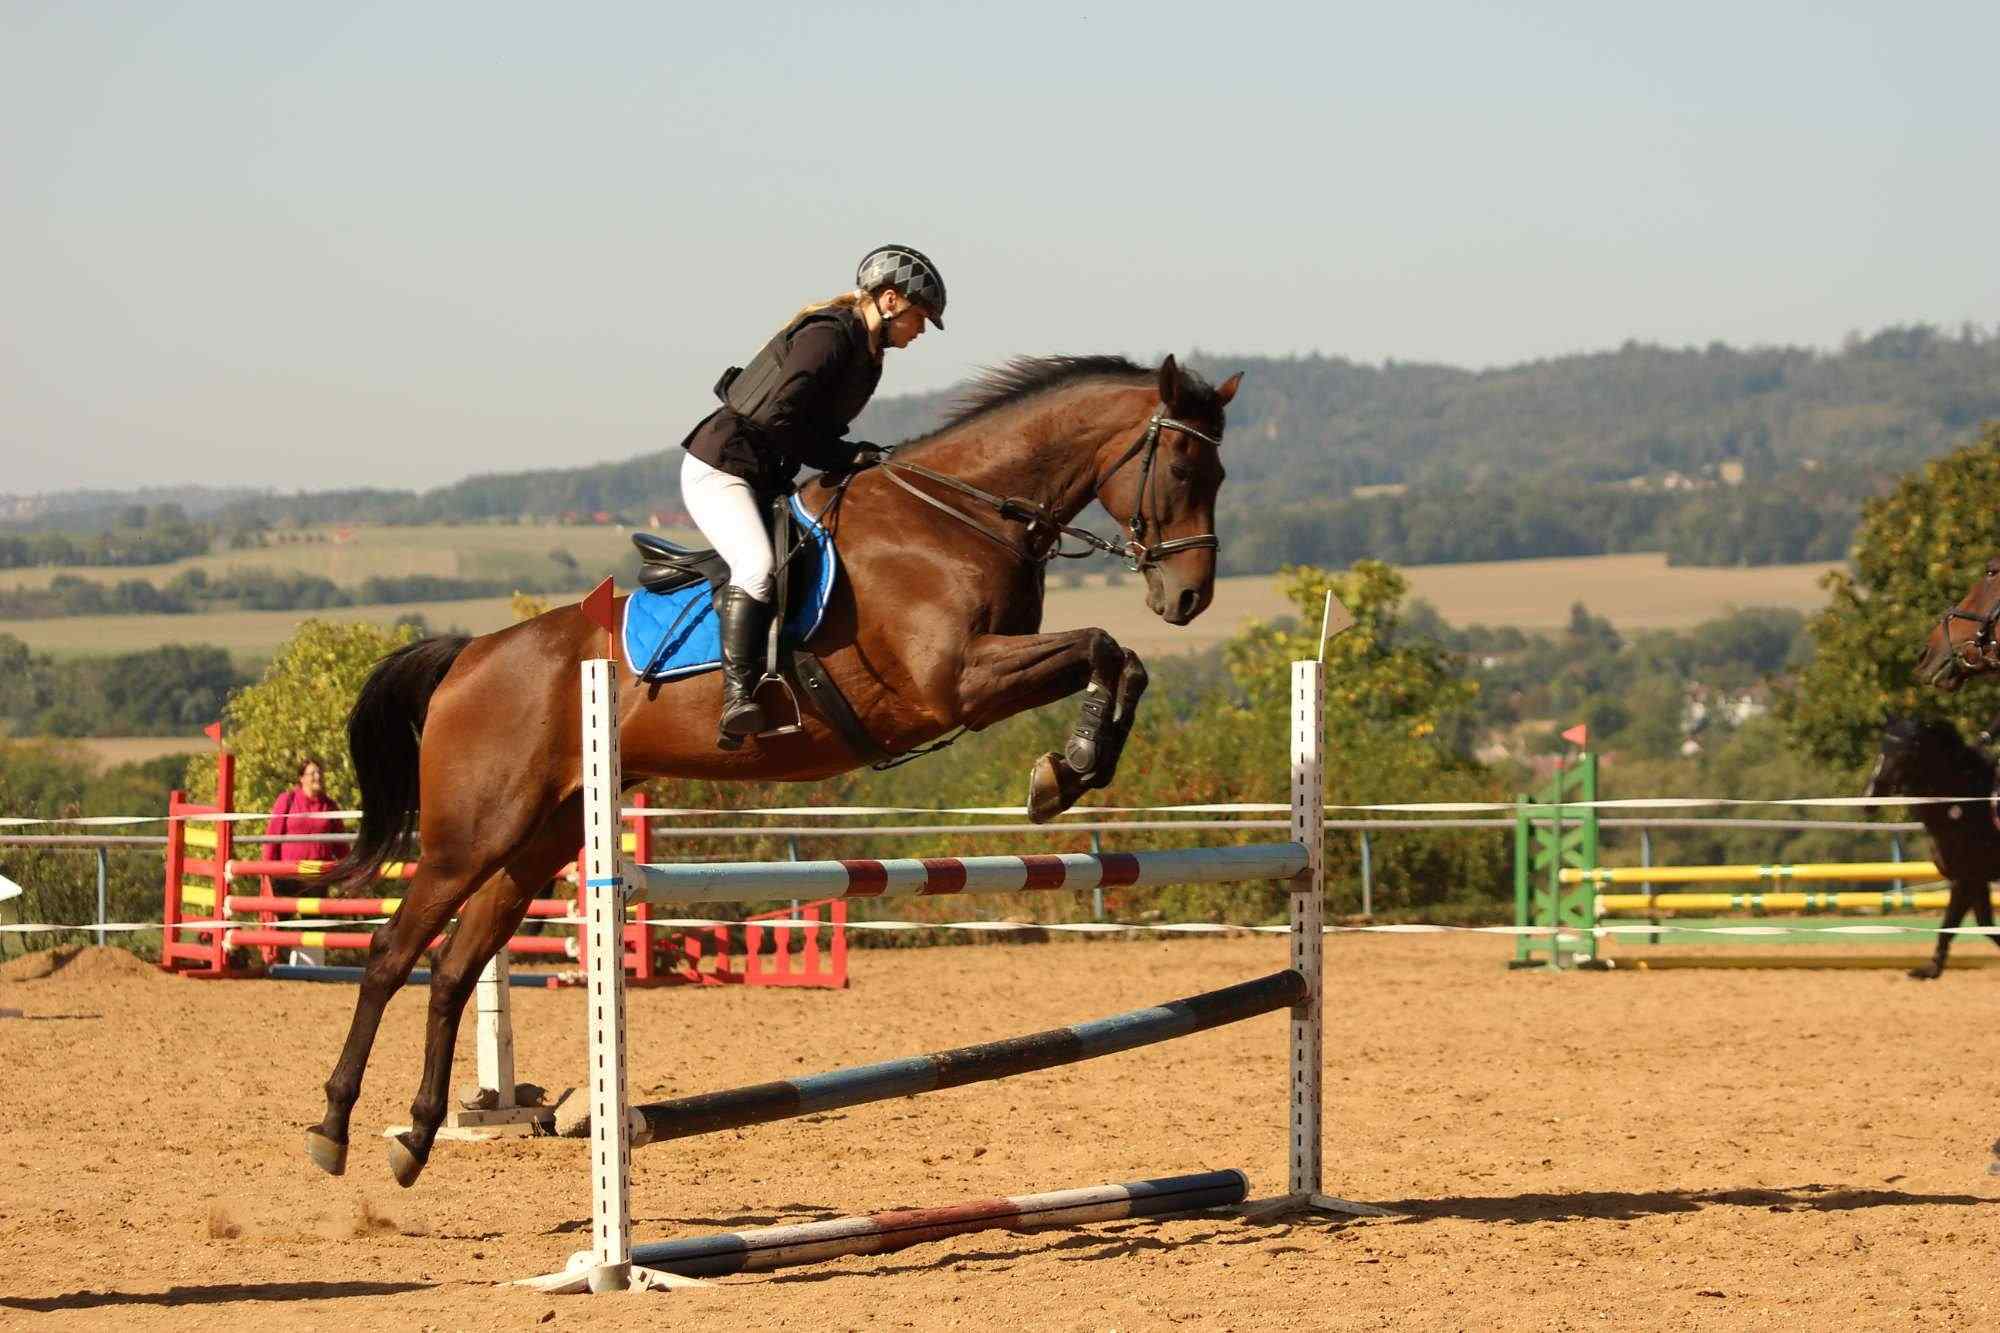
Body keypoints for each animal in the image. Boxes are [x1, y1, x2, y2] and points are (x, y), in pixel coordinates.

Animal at [304, 352, 1240, 1184]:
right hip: (472, 835)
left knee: (452, 969)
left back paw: (417, 1135)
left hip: (538, 840)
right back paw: (334, 1126)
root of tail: (469, 656)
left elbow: (1120, 658)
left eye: (1220, 470)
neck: (956, 517)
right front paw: (1066, 768)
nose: (1188, 598)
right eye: (1182, 464)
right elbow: (1102, 644)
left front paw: (1074, 766)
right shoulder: (957, 682)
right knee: (390, 952)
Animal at [1856, 716, 2000, 976]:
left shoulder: (1967, 878)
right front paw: (1932, 969)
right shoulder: (1974, 880)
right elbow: (1981, 926)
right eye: (1882, 747)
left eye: (1905, 752)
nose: (1870, 797)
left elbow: (1958, 923)